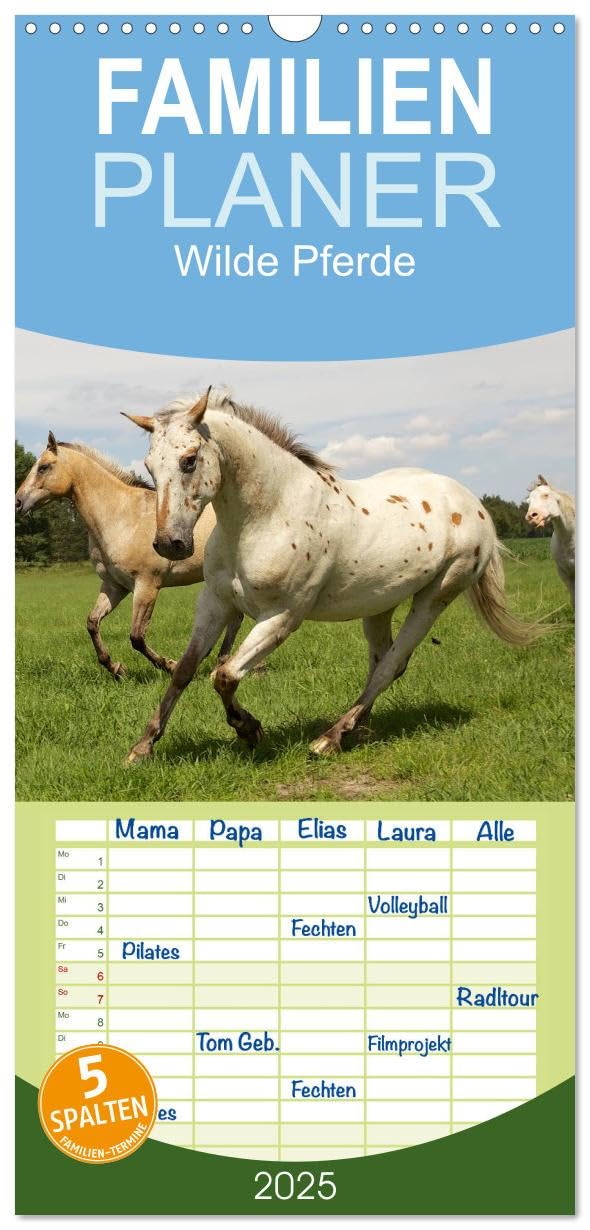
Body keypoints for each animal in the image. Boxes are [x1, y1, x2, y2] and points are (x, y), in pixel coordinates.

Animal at [15, 432, 242, 679]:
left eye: (44, 467)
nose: (17, 502)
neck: (123, 516)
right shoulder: (115, 586)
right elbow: (92, 623)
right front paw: (116, 669)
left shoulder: (147, 585)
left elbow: (137, 637)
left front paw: (169, 665)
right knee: (236, 617)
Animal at [123, 389, 550, 764]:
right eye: (150, 467)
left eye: (189, 460)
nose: (170, 544)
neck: (268, 513)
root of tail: (473, 504)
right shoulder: (215, 602)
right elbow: (185, 670)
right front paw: (143, 747)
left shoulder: (282, 616)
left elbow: (224, 675)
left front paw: (249, 730)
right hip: (379, 605)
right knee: (382, 662)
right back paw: (359, 730)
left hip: (434, 599)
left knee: (391, 665)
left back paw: (330, 738)